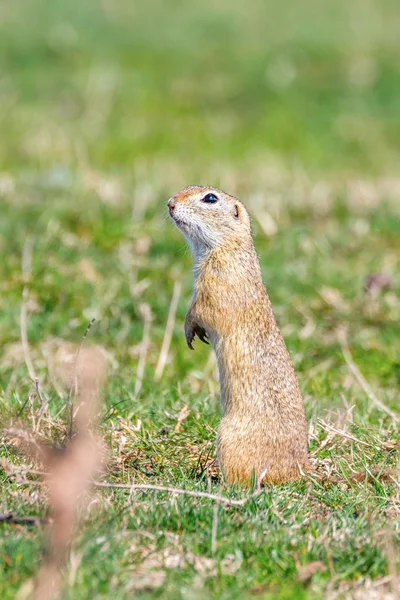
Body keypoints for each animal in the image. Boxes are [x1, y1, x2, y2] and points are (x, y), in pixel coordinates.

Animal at [167, 185, 310, 486]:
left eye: (210, 198)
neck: (229, 248)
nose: (170, 203)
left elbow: (201, 310)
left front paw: (190, 331)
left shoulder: (215, 284)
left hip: (227, 437)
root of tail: (301, 469)